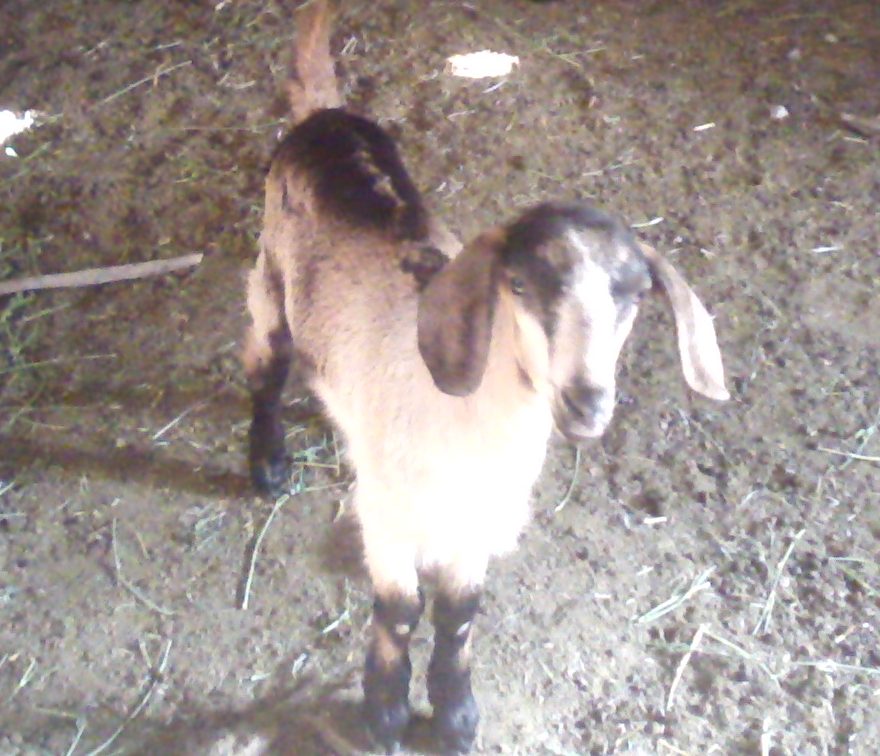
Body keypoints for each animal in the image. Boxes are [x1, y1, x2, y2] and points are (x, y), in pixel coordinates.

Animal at [243, 2, 729, 753]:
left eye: (634, 294)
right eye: (521, 285)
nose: (587, 401)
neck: (473, 421)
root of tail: (323, 115)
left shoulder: (476, 520)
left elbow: (459, 614)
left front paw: (455, 714)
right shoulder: (388, 511)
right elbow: (399, 610)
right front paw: (383, 714)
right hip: (271, 278)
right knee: (264, 366)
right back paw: (267, 462)